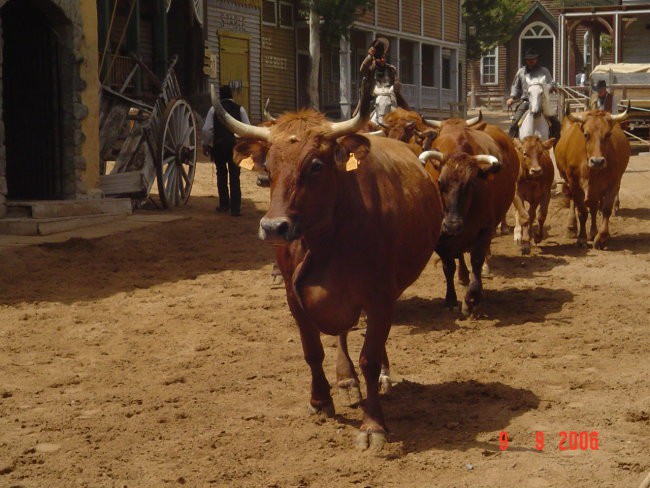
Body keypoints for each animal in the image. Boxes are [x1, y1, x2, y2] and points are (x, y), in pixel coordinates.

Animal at [210, 83, 442, 450]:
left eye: (316, 165)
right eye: (269, 167)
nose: (274, 227)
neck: (327, 239)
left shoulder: (380, 296)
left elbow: (369, 357)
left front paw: (373, 425)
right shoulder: (294, 296)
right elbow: (312, 351)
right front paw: (320, 400)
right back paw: (346, 380)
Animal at [552, 108, 628, 250]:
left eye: (608, 134)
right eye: (586, 134)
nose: (597, 161)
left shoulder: (613, 183)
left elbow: (605, 209)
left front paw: (601, 237)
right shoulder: (575, 184)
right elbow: (582, 211)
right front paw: (581, 238)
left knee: (593, 207)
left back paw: (593, 233)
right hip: (569, 183)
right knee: (574, 203)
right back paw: (571, 227)